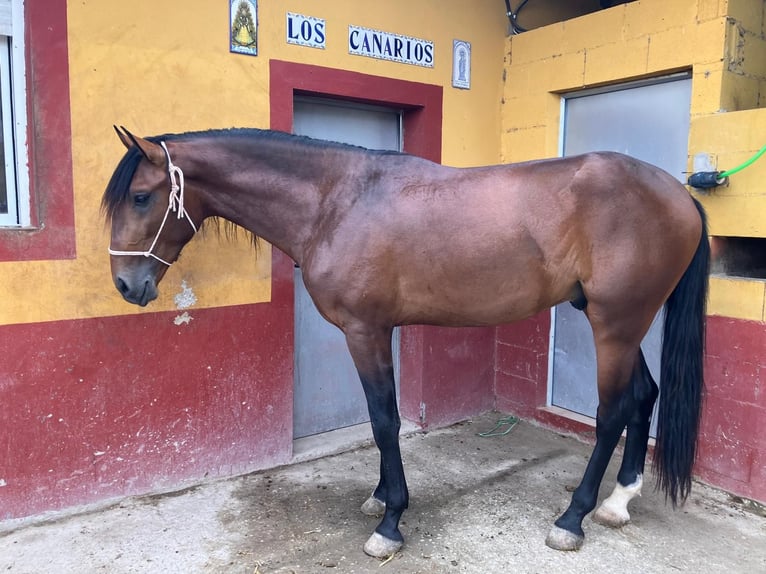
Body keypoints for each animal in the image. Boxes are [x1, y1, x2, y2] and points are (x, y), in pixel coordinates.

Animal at [102, 128, 708, 560]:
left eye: (141, 197)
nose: (127, 286)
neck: (335, 202)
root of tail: (677, 194)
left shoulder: (365, 331)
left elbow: (384, 420)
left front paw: (390, 523)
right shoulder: (379, 331)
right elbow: (384, 417)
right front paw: (380, 496)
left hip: (615, 323)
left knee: (611, 413)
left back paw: (572, 519)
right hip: (624, 324)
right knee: (644, 396)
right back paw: (618, 502)